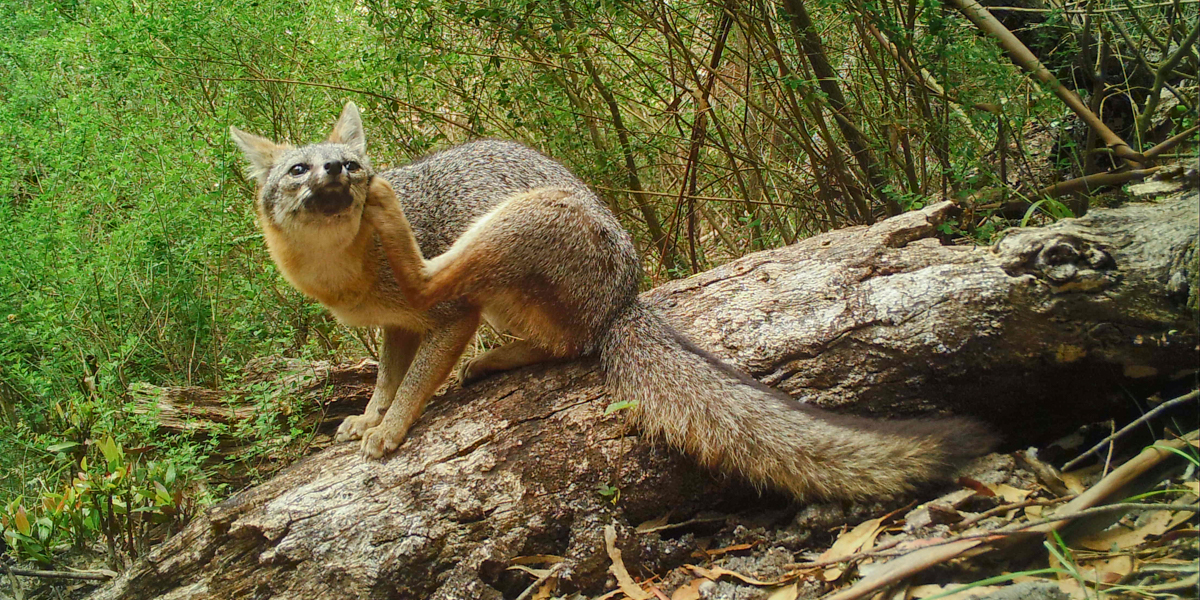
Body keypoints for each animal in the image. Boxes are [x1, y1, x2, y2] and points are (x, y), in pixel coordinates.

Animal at [226, 103, 993, 501]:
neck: (344, 277)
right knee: (561, 341)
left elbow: (414, 380)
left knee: (466, 291)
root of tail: (625, 297)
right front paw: (369, 415)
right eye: (300, 170)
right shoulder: (395, 329)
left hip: (514, 223)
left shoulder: (449, 319)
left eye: (348, 166)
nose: (344, 173)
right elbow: (387, 377)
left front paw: (389, 431)